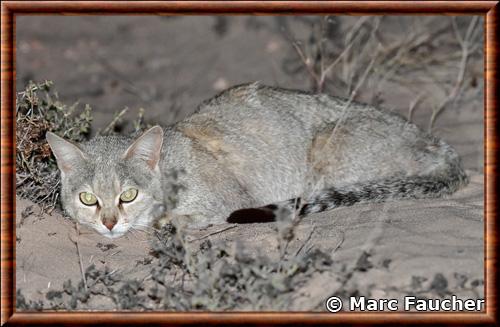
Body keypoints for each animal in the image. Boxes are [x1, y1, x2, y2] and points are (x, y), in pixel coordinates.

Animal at [47, 83, 468, 240]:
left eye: (128, 195)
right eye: (88, 199)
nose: (108, 223)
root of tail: (436, 144)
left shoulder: (225, 201)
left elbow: (179, 218)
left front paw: (163, 222)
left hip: (328, 154)